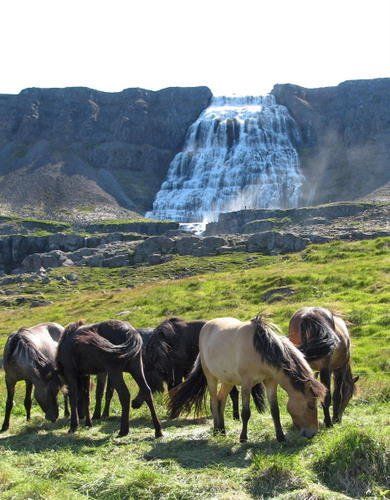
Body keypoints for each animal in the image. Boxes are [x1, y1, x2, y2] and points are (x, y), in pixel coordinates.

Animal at [169, 316, 324, 442]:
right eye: (310, 405)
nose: (312, 433)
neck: (260, 349)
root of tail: (206, 326)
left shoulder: (270, 382)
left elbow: (275, 411)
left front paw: (280, 437)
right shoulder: (246, 383)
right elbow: (246, 413)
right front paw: (243, 438)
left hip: (227, 380)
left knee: (221, 400)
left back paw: (222, 430)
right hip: (211, 377)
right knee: (213, 401)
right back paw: (216, 430)